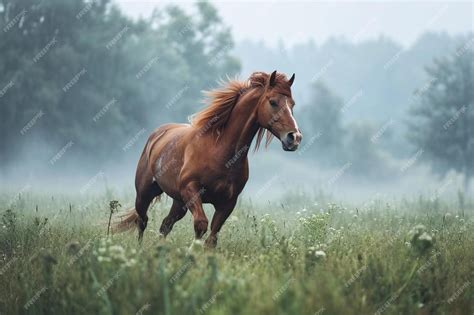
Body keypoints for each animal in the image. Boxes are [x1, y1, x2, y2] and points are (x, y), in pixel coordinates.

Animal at [115, 71, 300, 249]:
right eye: (273, 102)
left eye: (292, 104)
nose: (294, 138)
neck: (220, 151)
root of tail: (157, 134)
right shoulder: (191, 190)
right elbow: (201, 225)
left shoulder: (227, 203)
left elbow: (212, 238)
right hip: (145, 193)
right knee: (142, 220)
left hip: (178, 202)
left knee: (165, 225)